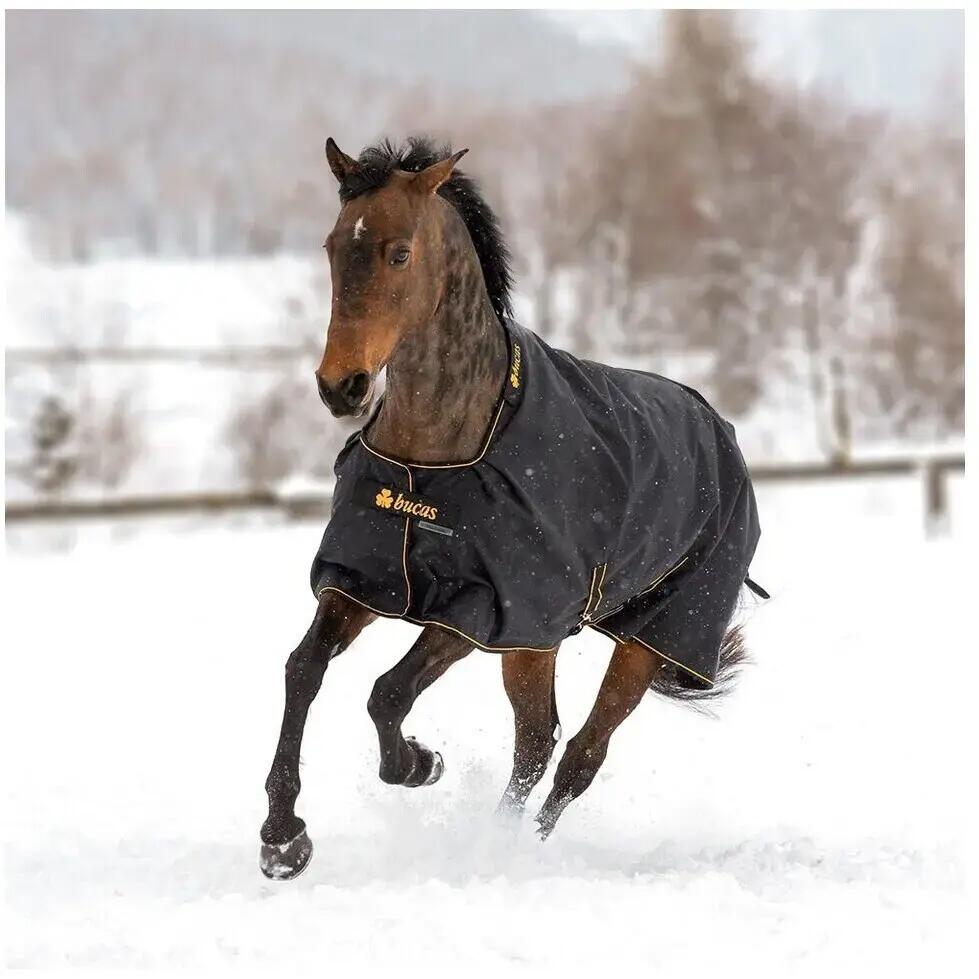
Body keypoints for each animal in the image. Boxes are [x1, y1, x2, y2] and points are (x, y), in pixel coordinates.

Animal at [259, 136, 762, 880]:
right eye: (331, 246)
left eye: (398, 252)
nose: (339, 386)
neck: (435, 458)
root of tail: (718, 429)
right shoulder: (365, 581)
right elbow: (303, 670)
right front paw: (282, 837)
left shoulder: (480, 607)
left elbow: (387, 691)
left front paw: (420, 764)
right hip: (535, 643)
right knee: (536, 738)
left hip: (643, 638)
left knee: (579, 753)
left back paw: (507, 851)